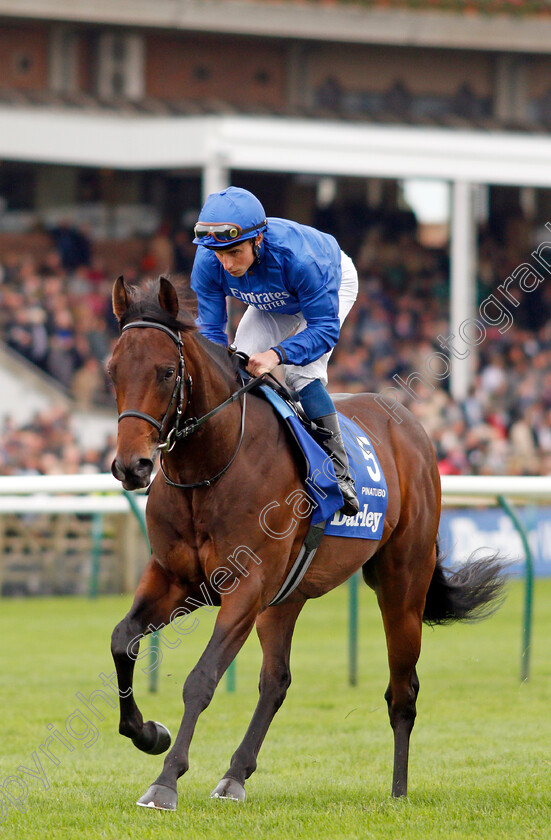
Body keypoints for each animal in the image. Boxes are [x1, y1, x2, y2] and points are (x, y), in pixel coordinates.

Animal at [106, 278, 504, 812]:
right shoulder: (174, 578)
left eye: (167, 372)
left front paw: (165, 781)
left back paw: (398, 791)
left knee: (403, 691)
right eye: (112, 370)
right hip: (285, 597)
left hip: (402, 585)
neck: (210, 467)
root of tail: (411, 424)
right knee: (276, 680)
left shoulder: (245, 586)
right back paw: (235, 775)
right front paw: (148, 733)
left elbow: (202, 678)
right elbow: (122, 641)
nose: (133, 466)